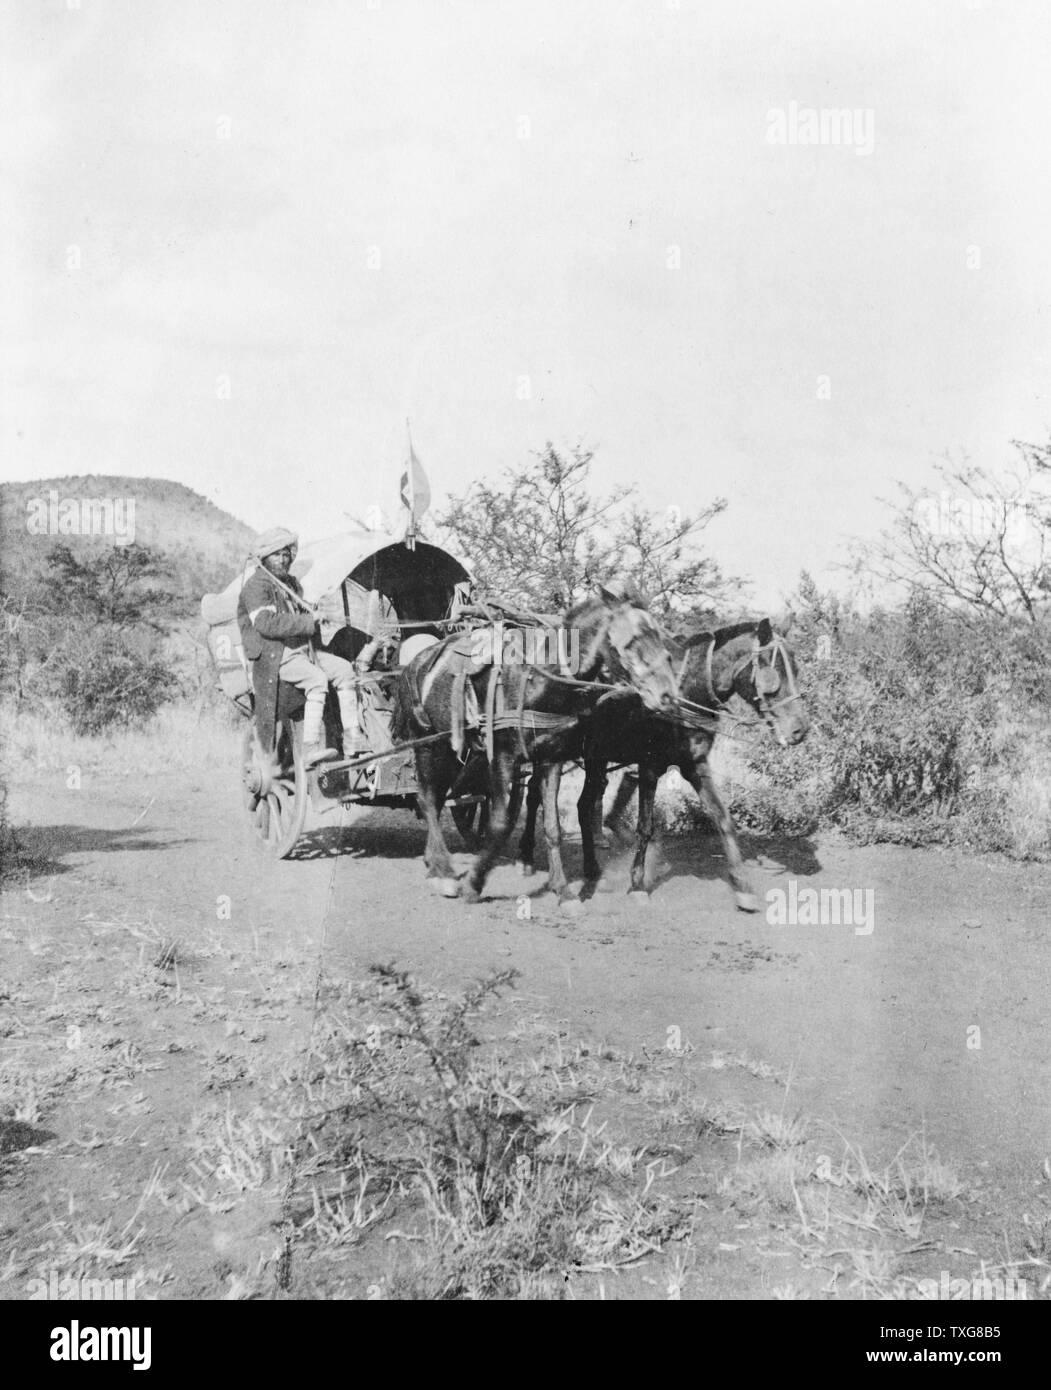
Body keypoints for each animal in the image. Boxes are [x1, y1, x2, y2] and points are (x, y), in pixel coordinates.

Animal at [390, 584, 681, 904]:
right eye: (631, 641)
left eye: (659, 637)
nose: (667, 695)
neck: (539, 680)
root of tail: (413, 664)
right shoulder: (502, 757)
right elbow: (501, 823)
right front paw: (474, 884)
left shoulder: (552, 756)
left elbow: (552, 825)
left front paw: (564, 891)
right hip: (428, 743)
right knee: (428, 799)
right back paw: (442, 872)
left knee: (439, 797)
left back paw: (435, 862)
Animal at [516, 617, 808, 911]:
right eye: (773, 671)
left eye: (795, 668)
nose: (799, 730)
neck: (682, 695)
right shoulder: (649, 767)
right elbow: (645, 827)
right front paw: (637, 884)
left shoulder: (696, 765)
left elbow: (723, 818)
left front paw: (742, 885)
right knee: (534, 796)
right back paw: (526, 858)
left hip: (595, 757)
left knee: (584, 805)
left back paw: (591, 868)